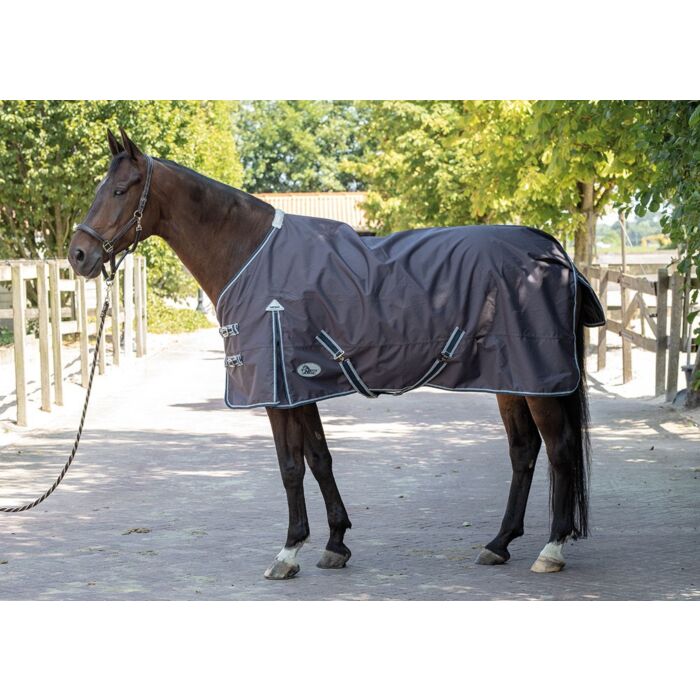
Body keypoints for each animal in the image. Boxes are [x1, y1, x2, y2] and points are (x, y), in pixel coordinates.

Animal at [68, 127, 595, 580]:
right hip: (511, 379)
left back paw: (551, 549)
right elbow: (320, 458)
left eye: (121, 189)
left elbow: (290, 467)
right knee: (524, 452)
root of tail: (554, 251)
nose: (77, 255)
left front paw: (288, 552)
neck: (249, 253)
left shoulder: (277, 391)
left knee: (560, 450)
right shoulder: (300, 385)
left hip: (540, 381)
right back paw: (499, 543)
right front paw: (335, 543)